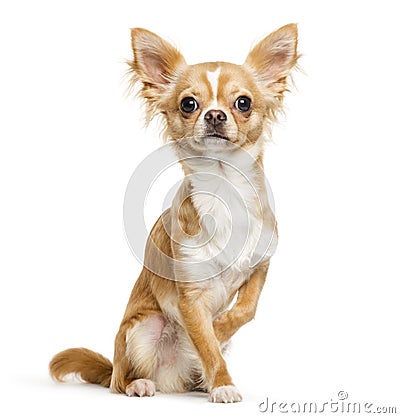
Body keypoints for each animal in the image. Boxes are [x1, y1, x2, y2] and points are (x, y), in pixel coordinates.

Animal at [49, 22, 296, 402]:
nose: (214, 115)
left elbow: (245, 310)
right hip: (141, 331)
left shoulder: (260, 267)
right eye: (188, 104)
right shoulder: (190, 298)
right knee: (120, 381)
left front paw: (221, 328)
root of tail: (170, 381)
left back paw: (199, 382)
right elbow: (207, 345)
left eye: (243, 103)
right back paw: (140, 384)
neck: (225, 191)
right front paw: (223, 383)